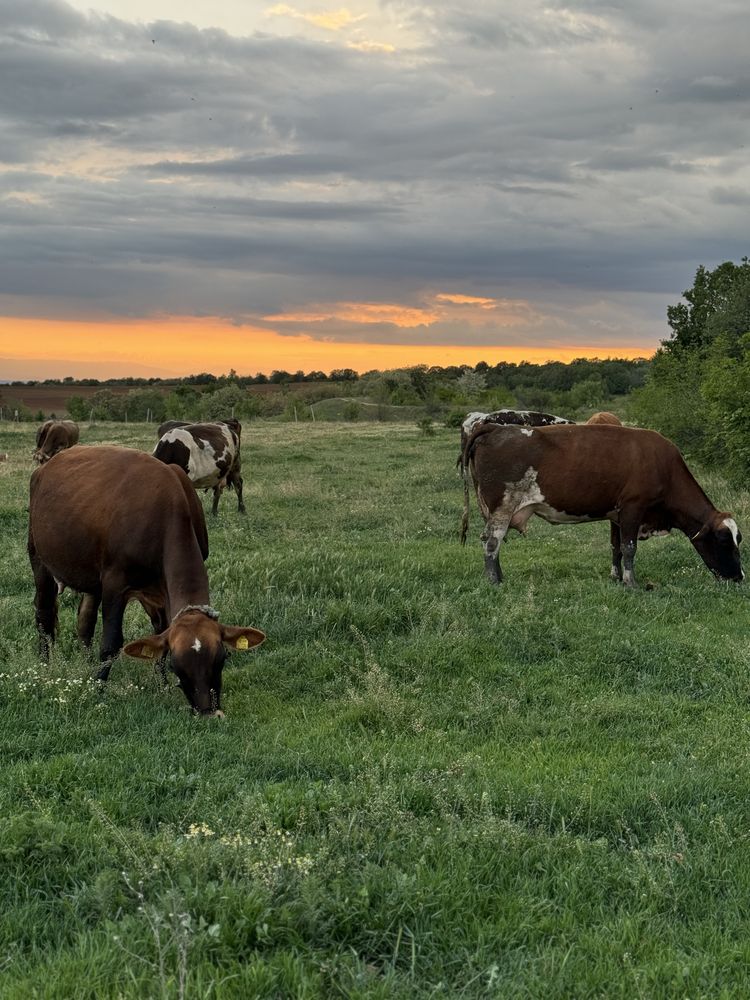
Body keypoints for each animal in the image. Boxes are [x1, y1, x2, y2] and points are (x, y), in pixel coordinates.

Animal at [27, 450, 266, 716]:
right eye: (176, 666)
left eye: (222, 658)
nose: (206, 712)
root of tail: (46, 466)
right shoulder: (115, 583)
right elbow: (111, 643)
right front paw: (98, 691)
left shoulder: (157, 592)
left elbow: (158, 634)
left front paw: (161, 686)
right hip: (39, 556)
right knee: (44, 614)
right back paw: (45, 666)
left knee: (85, 620)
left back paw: (87, 664)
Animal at [462, 422, 744, 584]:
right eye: (723, 540)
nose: (740, 577)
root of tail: (496, 427)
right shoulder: (633, 508)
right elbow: (629, 548)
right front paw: (631, 584)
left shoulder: (616, 515)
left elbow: (616, 547)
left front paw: (616, 578)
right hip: (503, 506)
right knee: (492, 542)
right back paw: (495, 581)